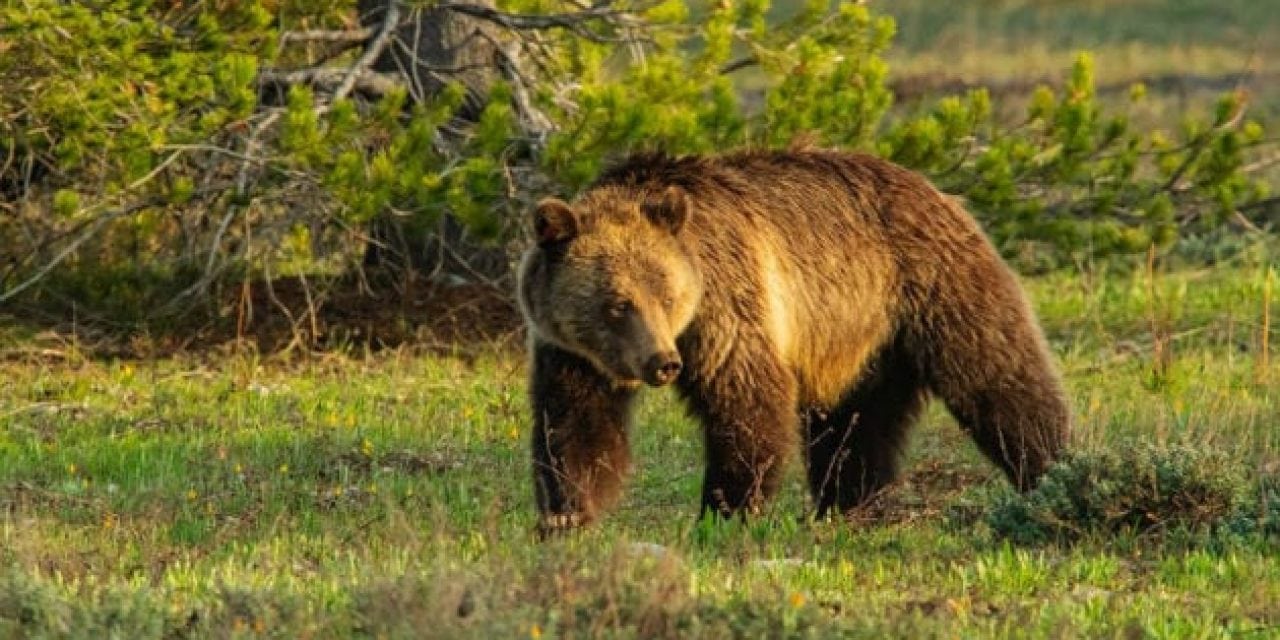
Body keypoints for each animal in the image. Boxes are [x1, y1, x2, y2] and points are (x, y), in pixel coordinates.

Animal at [517, 148, 1070, 529]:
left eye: (667, 295)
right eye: (617, 304)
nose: (663, 362)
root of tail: (935, 188)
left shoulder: (729, 309)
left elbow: (747, 405)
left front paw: (725, 509)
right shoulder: (572, 352)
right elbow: (575, 425)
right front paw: (566, 514)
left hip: (934, 287)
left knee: (1000, 378)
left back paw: (1051, 469)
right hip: (862, 341)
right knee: (855, 425)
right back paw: (849, 504)